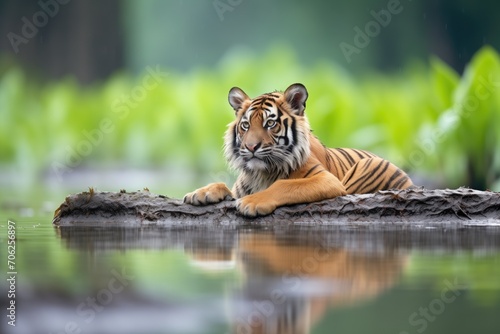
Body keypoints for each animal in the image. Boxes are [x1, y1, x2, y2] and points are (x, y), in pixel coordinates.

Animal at [183, 82, 410, 215]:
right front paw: (200, 193)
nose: (251, 146)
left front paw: (251, 202)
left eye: (270, 124)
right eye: (245, 125)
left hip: (369, 165)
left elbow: (284, 185)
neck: (261, 173)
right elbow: (222, 184)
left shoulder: (327, 179)